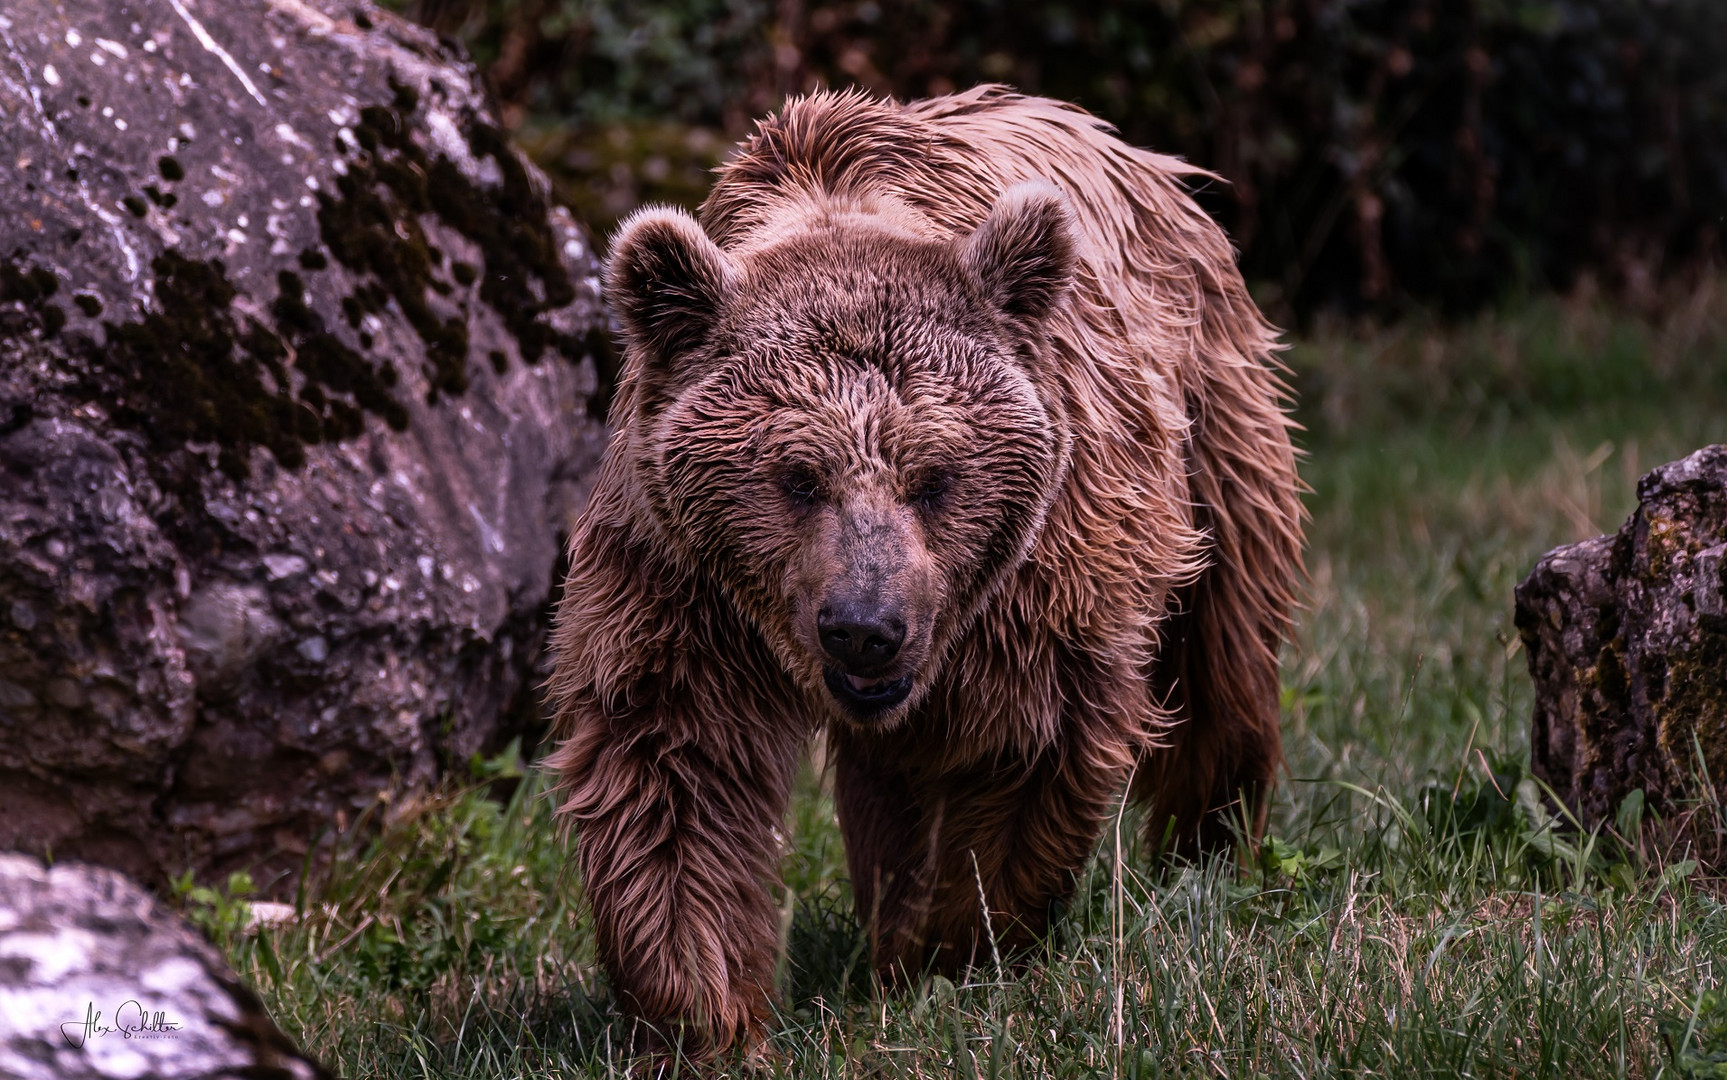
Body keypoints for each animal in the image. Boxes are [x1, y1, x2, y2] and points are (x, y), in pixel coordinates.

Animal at [545, 88, 1298, 1057]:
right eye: (797, 476)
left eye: (935, 476)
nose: (864, 628)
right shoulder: (684, 577)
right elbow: (676, 764)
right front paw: (702, 1011)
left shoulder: (1043, 566)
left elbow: (1026, 739)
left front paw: (955, 946)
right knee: (887, 779)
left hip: (1212, 421)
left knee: (1222, 653)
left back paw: (1207, 851)